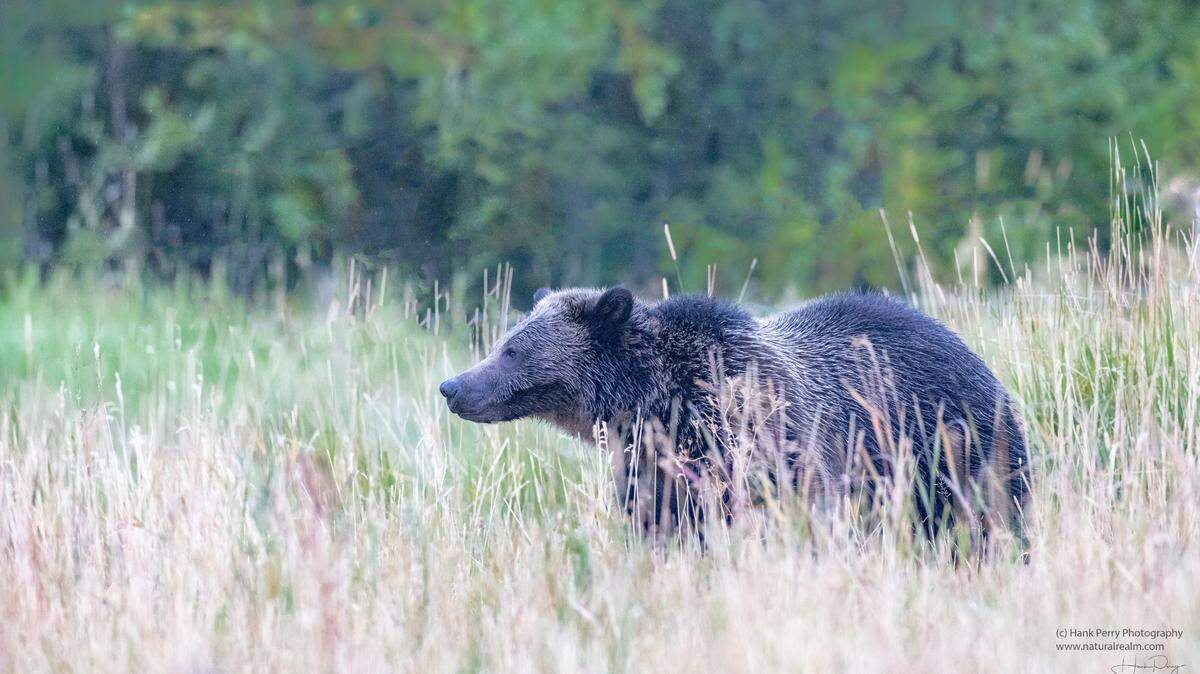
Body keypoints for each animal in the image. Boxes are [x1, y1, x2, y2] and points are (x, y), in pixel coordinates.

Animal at [440, 286, 1029, 543]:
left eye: (512, 350)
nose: (452, 386)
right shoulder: (653, 470)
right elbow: (661, 526)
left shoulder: (768, 444)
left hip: (954, 446)